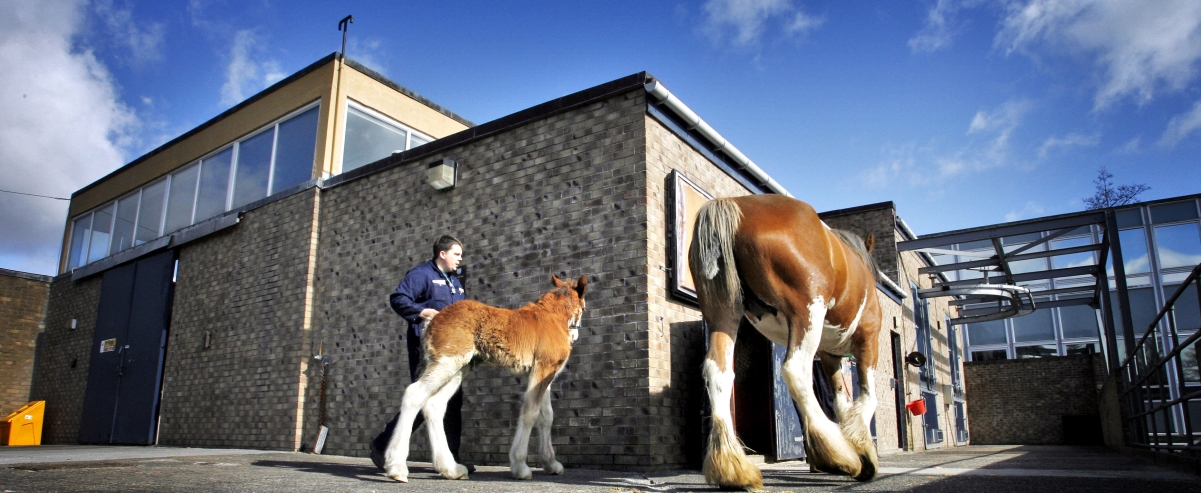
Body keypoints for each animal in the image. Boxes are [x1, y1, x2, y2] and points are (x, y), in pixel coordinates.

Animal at [384, 275, 586, 483]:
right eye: (584, 308)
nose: (575, 336)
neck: (553, 318)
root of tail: (433, 319)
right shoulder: (542, 368)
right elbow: (530, 412)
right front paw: (520, 467)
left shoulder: (544, 371)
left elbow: (546, 416)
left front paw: (551, 464)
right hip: (447, 362)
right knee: (414, 394)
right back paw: (397, 467)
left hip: (460, 367)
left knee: (434, 405)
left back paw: (451, 469)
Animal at [686, 194, 883, 488]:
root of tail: (735, 204)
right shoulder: (868, 340)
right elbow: (867, 397)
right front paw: (863, 451)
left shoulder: (830, 355)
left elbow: (841, 401)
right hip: (807, 314)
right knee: (795, 370)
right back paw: (839, 454)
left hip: (723, 313)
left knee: (717, 370)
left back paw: (732, 468)